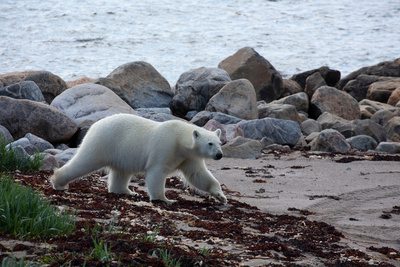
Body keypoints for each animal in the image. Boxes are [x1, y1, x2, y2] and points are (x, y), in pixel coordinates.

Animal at [50, 114, 227, 204]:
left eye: (220, 143)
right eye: (210, 143)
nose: (219, 155)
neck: (180, 138)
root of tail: (94, 125)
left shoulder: (188, 157)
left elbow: (198, 176)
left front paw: (220, 196)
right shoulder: (165, 147)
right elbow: (156, 172)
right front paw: (165, 199)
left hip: (121, 152)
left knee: (121, 172)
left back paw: (126, 191)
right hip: (103, 142)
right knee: (85, 162)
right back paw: (58, 182)